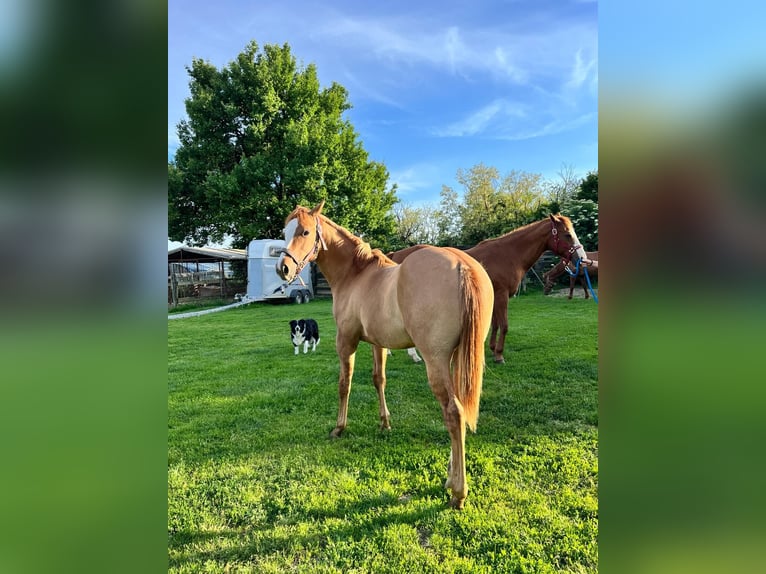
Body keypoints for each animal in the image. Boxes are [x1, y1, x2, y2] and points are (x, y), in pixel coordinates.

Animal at [276, 202, 492, 508]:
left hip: (436, 361)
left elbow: (344, 384)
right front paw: (385, 423)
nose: (283, 269)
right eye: (284, 232)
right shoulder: (378, 344)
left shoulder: (346, 342)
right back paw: (451, 478)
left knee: (454, 413)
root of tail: (463, 265)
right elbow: (379, 380)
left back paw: (458, 492)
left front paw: (339, 428)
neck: (356, 275)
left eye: (305, 231)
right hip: (457, 359)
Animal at [392, 216, 592, 364]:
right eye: (567, 234)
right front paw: (499, 355)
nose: (583, 258)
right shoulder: (502, 296)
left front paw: (492, 348)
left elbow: (495, 324)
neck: (507, 254)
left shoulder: (495, 296)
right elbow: (504, 325)